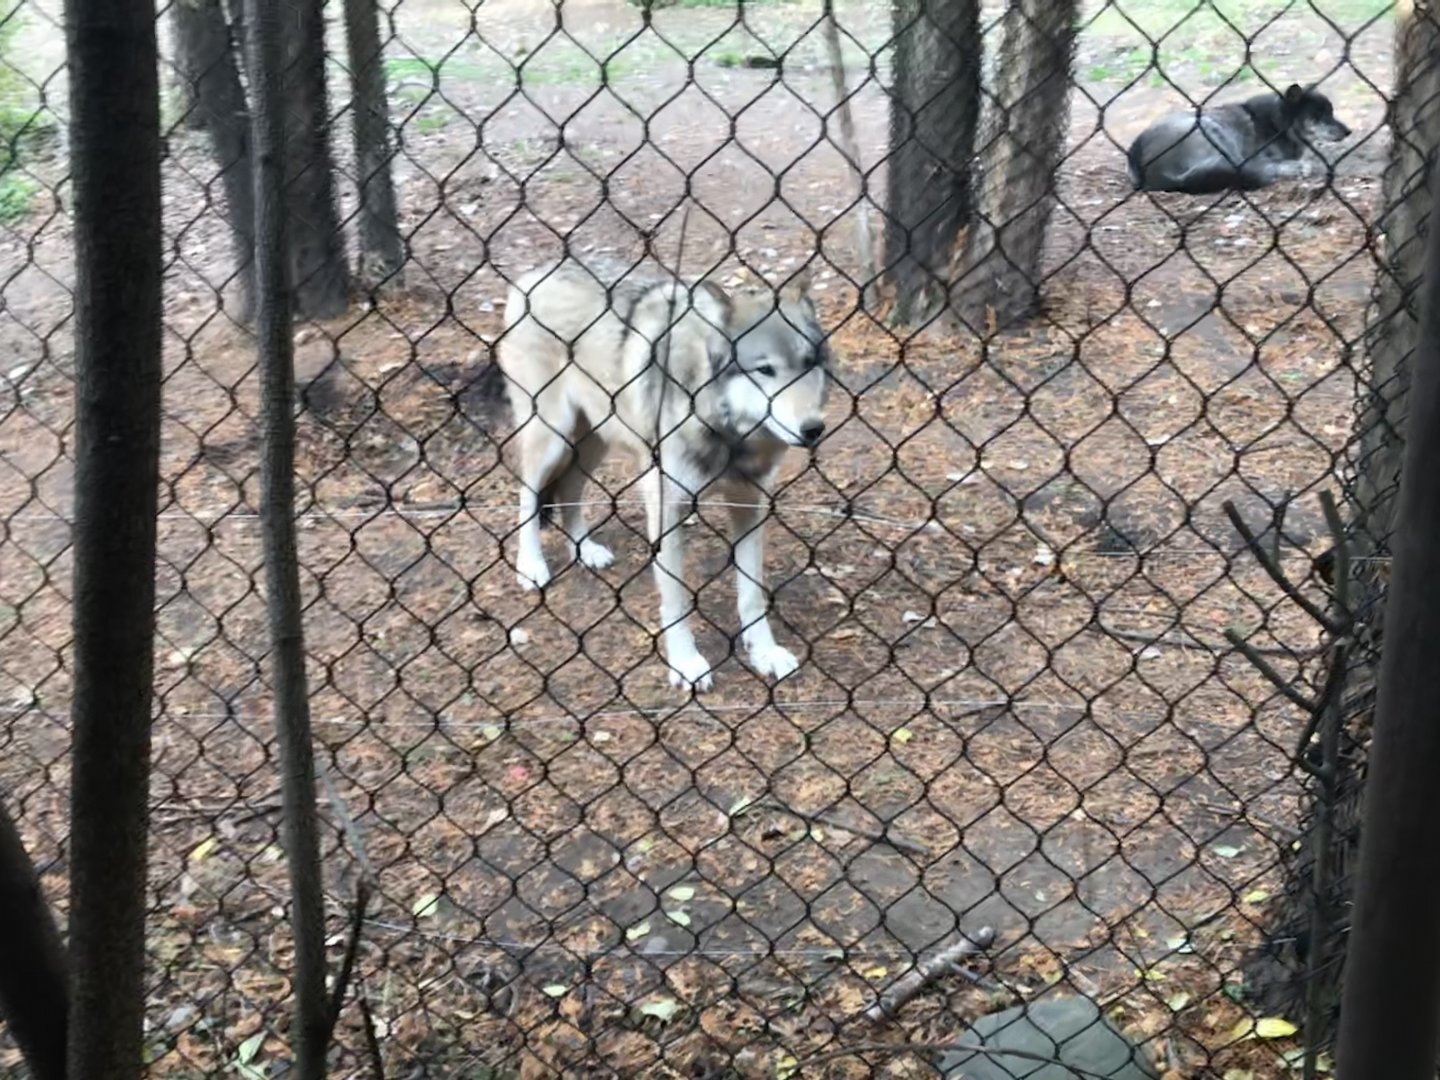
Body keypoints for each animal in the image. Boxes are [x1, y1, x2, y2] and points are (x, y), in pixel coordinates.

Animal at [489, 259, 832, 692]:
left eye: (808, 365)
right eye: (765, 370)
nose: (813, 429)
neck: (727, 433)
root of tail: (533, 274)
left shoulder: (749, 503)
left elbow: (752, 592)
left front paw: (764, 653)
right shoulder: (666, 506)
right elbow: (676, 598)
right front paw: (686, 663)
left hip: (594, 441)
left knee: (570, 489)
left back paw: (585, 551)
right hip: (552, 437)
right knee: (527, 494)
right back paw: (531, 566)